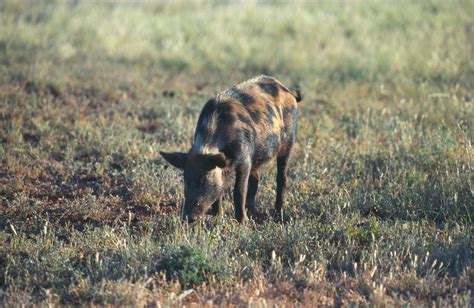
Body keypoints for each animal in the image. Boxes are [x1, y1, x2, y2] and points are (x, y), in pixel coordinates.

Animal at [161, 74, 302, 224]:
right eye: (186, 179)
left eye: (204, 180)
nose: (187, 217)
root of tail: (288, 91)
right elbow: (220, 189)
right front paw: (218, 216)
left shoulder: (245, 159)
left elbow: (239, 190)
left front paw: (242, 222)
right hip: (257, 157)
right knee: (256, 178)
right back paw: (251, 211)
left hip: (288, 142)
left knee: (281, 177)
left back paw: (277, 213)